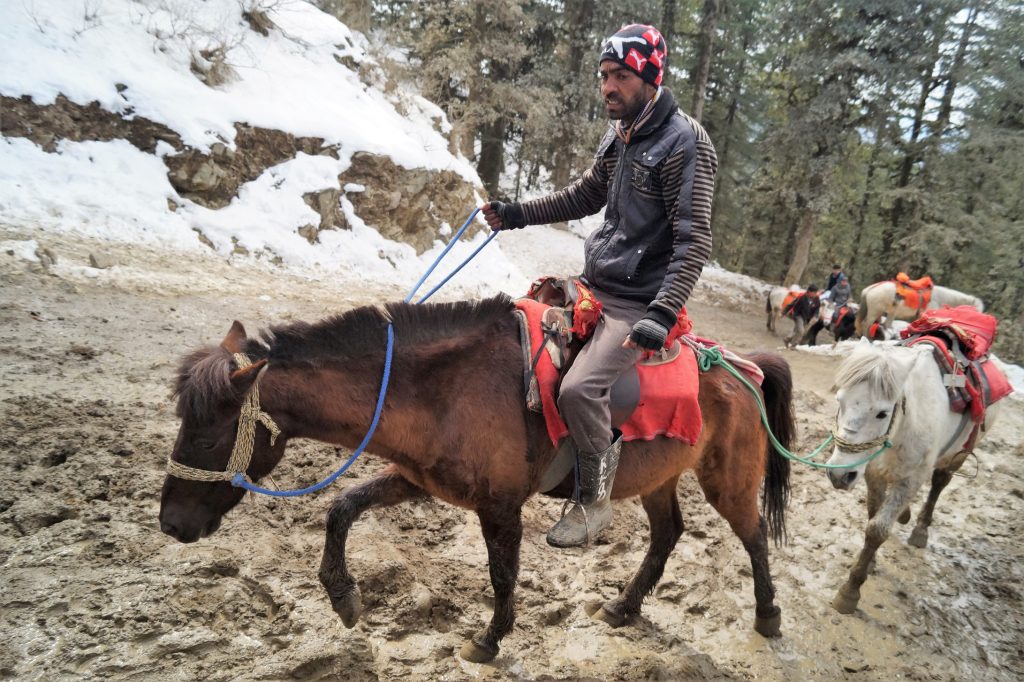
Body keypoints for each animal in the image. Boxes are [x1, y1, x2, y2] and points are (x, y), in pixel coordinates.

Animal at [159, 294, 794, 659]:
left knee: (755, 536)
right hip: (660, 477)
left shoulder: (500, 505)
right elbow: (341, 508)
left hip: (727, 478)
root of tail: (743, 367)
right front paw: (343, 596)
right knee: (668, 534)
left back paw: (768, 616)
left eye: (209, 438)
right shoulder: (417, 478)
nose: (170, 525)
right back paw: (625, 607)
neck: (443, 388)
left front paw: (490, 640)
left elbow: (502, 573)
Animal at [823, 337, 999, 610]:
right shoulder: (873, 472)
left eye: (882, 413)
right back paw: (905, 515)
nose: (840, 475)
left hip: (956, 457)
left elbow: (877, 530)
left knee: (939, 483)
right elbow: (873, 513)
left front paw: (850, 591)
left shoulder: (911, 480)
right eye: (840, 401)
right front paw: (870, 562)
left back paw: (920, 530)